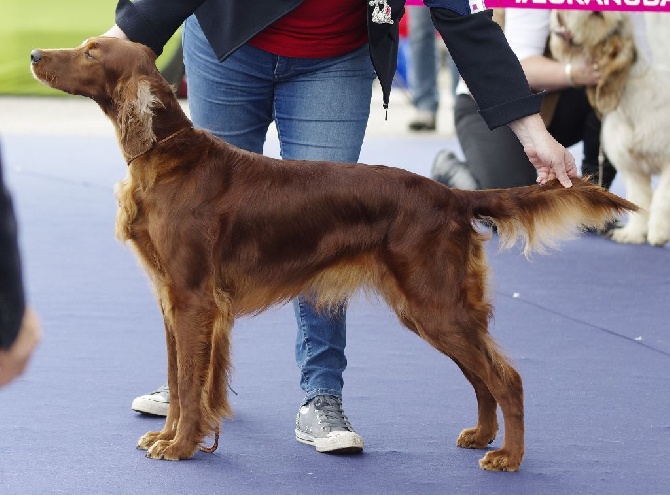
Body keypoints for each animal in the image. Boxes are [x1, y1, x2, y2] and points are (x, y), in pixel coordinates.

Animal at [32, 36, 640, 470]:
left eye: (90, 51)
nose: (34, 55)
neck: (168, 155)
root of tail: (449, 194)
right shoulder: (171, 300)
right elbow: (180, 381)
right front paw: (167, 435)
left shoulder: (192, 299)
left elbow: (188, 381)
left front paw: (179, 448)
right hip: (431, 308)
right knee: (480, 375)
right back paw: (482, 436)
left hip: (435, 304)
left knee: (504, 376)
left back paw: (508, 457)